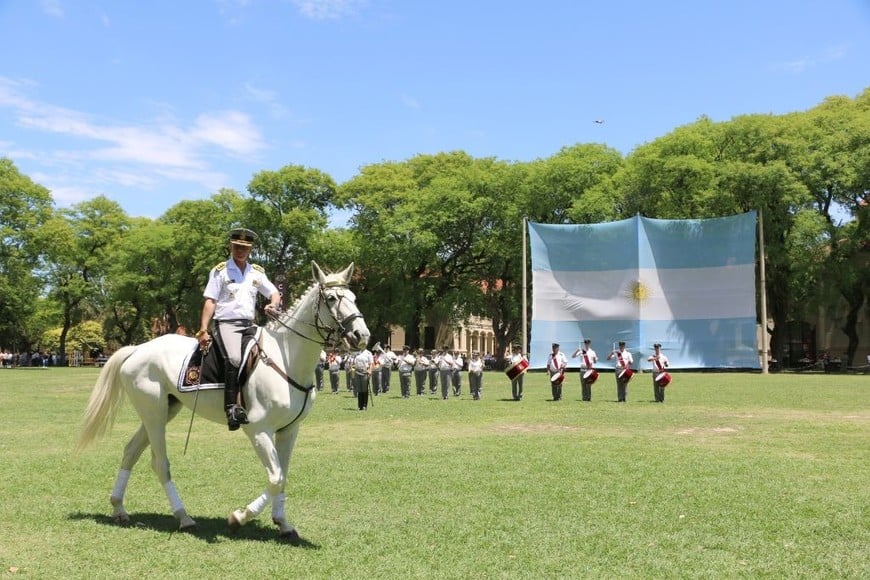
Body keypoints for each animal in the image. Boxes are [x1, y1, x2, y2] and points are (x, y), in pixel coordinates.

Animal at [76, 260, 372, 540]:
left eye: (354, 297)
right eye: (331, 298)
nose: (362, 336)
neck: (286, 357)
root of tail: (137, 348)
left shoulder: (289, 430)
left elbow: (282, 475)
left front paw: (283, 524)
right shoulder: (259, 430)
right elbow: (276, 477)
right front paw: (238, 517)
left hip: (164, 411)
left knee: (130, 451)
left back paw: (119, 508)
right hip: (154, 414)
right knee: (160, 463)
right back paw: (184, 518)